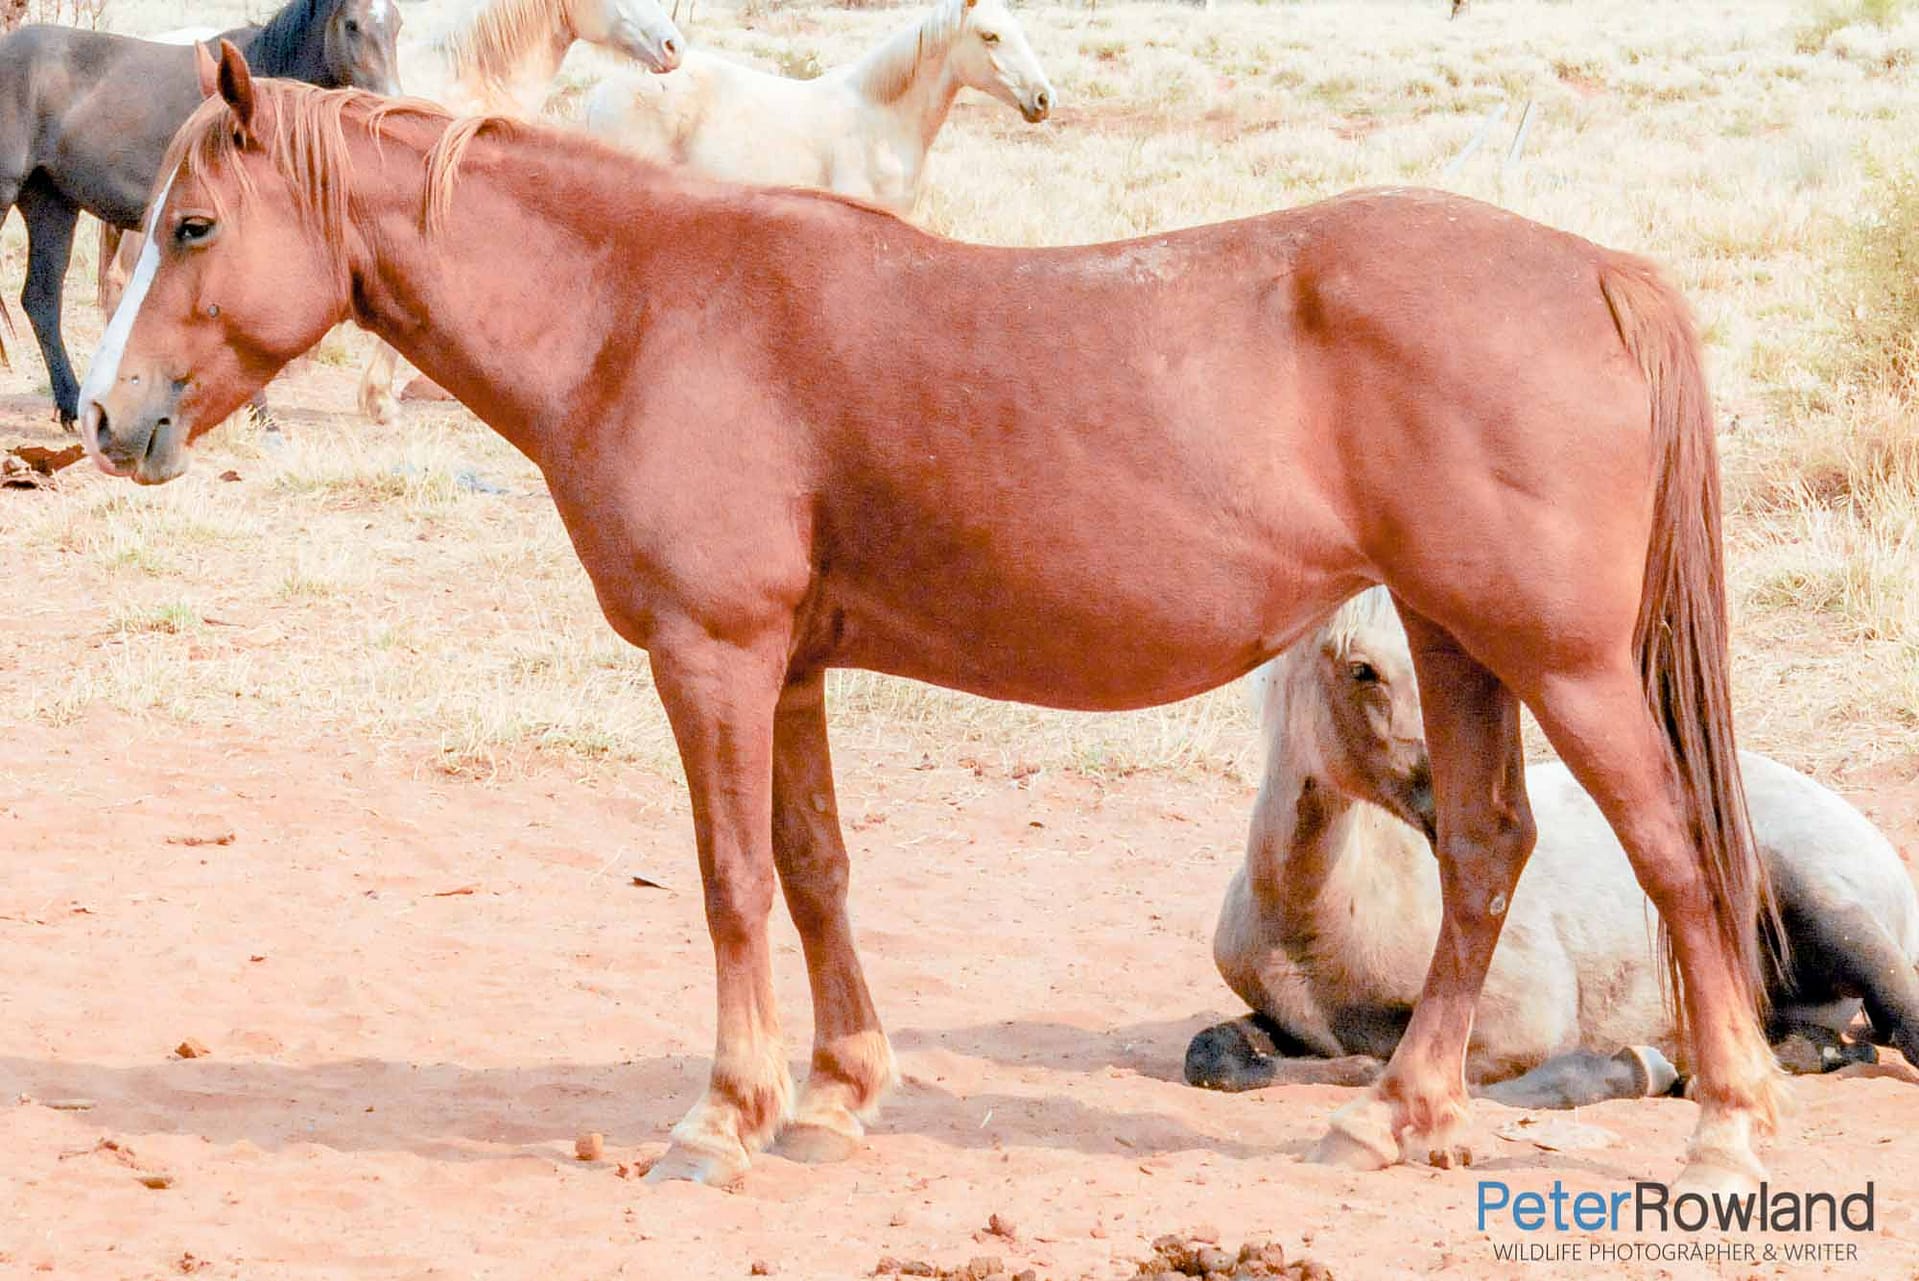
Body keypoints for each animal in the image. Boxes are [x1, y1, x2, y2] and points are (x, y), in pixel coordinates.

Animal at [0, 0, 402, 428]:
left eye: (396, 22)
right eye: (352, 24)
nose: (388, 103)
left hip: (52, 204)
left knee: (41, 299)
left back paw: (71, 404)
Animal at [79, 49, 1787, 1194]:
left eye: (193, 229)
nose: (104, 416)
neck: (644, 313)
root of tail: (1592, 270)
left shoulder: (711, 656)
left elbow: (730, 881)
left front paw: (723, 1116)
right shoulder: (785, 670)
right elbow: (815, 869)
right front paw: (837, 1092)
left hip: (1558, 661)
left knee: (1668, 846)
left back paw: (1725, 1117)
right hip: (1453, 639)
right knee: (1487, 851)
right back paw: (1396, 1113)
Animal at [1186, 588, 1919, 1106]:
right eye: (1362, 668)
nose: (1474, 809)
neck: (1316, 925)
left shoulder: (1524, 1021)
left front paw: (1634, 1066)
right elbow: (1214, 1055)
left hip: (1824, 905)